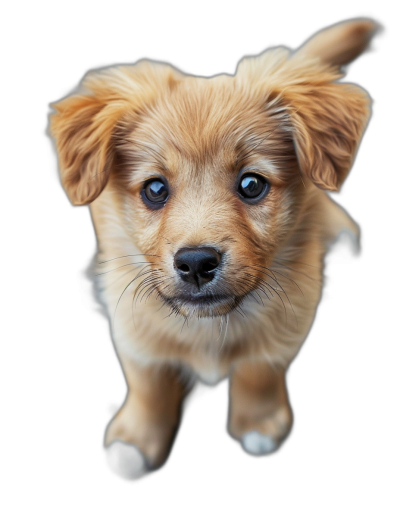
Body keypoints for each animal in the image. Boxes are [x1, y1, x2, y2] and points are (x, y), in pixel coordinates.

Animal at [47, 18, 382, 480]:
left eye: (252, 184)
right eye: (154, 189)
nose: (195, 264)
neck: (208, 326)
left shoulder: (292, 314)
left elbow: (259, 368)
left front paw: (258, 424)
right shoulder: (130, 324)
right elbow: (147, 381)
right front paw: (137, 439)